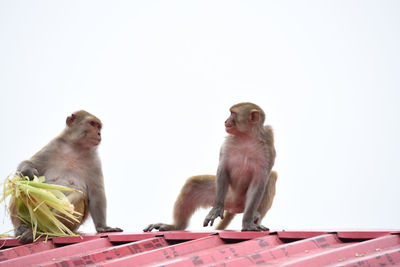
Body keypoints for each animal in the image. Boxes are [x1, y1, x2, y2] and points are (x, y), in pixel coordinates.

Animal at [11, 110, 122, 244]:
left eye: (99, 126)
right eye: (92, 124)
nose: (99, 133)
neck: (76, 147)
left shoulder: (95, 160)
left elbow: (96, 193)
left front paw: (103, 227)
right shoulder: (53, 145)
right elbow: (29, 164)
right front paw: (28, 171)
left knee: (78, 196)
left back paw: (43, 231)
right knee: (19, 183)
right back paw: (22, 227)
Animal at [144, 102, 278, 232]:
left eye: (233, 114)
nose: (225, 121)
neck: (246, 137)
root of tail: (234, 207)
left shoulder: (267, 148)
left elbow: (258, 181)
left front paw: (247, 222)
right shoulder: (227, 144)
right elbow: (223, 169)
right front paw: (217, 209)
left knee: (271, 177)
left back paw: (255, 218)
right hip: (226, 196)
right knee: (192, 185)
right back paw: (176, 226)